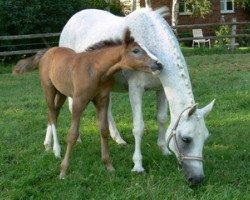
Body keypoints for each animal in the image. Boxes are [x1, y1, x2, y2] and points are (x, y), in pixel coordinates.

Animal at [38, 28, 162, 179]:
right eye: (136, 50)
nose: (159, 64)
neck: (95, 70)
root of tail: (48, 52)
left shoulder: (102, 100)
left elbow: (104, 130)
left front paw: (108, 165)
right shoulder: (79, 101)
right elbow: (72, 134)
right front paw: (63, 170)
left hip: (61, 93)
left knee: (53, 113)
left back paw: (48, 146)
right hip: (49, 89)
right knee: (51, 113)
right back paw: (56, 150)